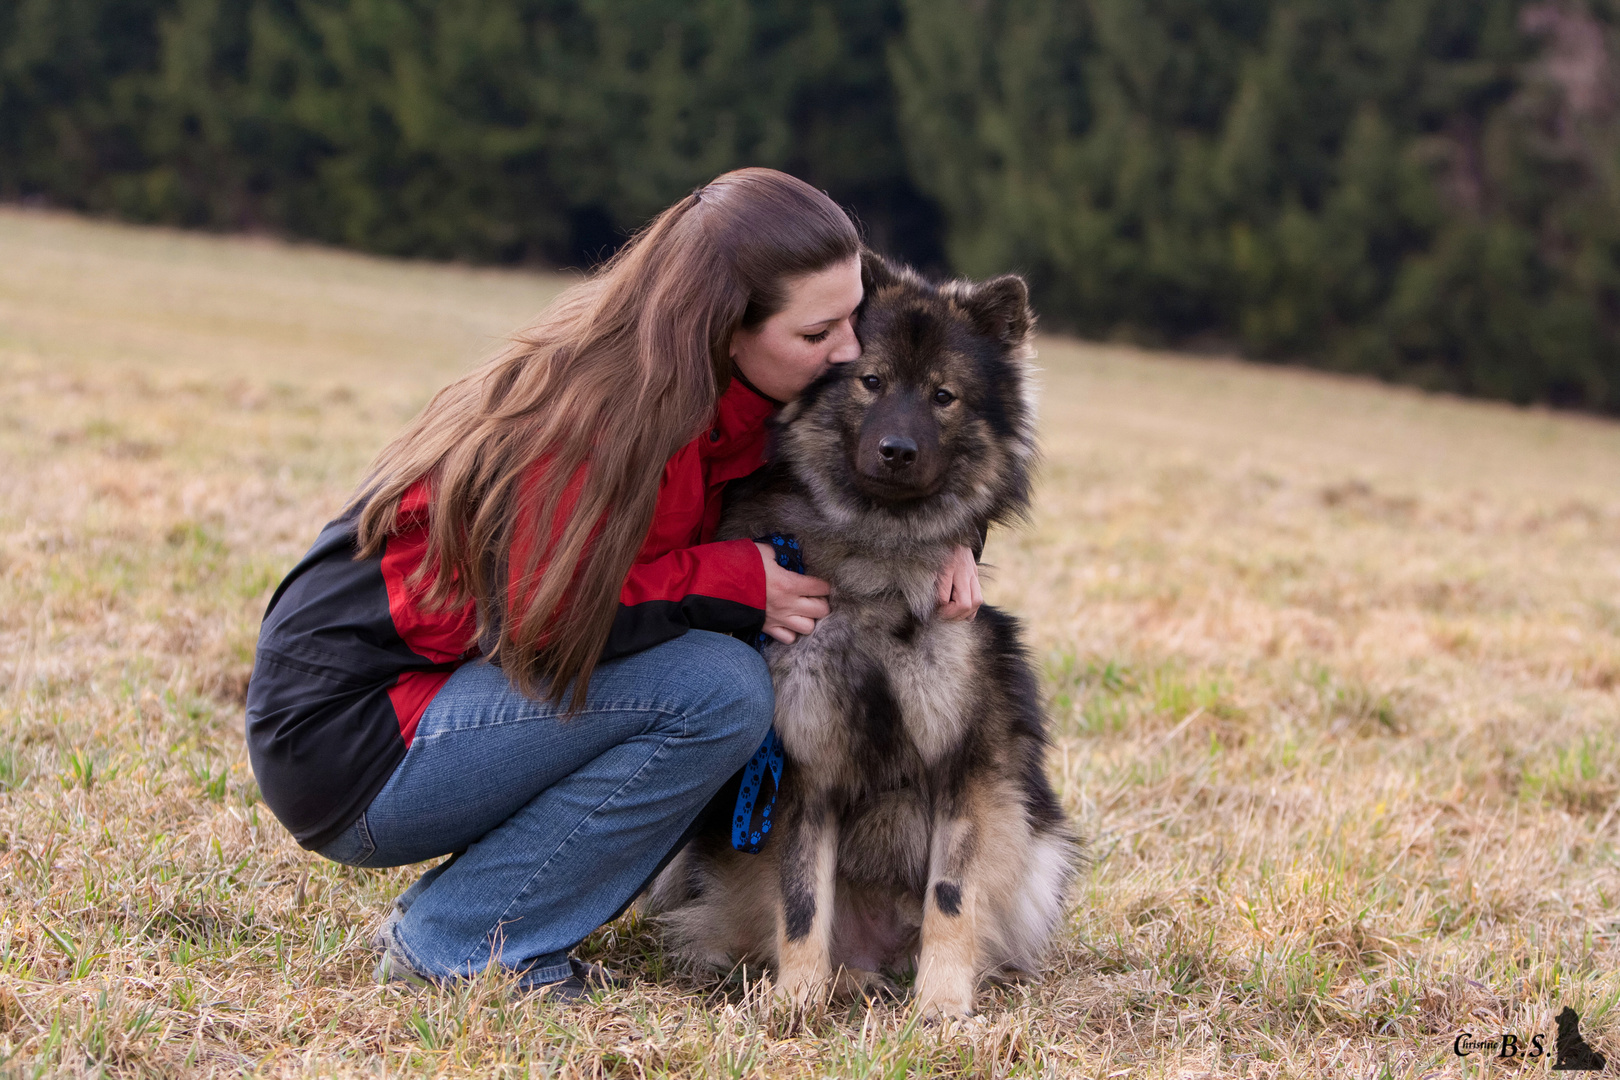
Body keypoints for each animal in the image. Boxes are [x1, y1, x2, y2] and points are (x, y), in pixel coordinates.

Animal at [644, 249, 1075, 1016]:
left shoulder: (963, 767)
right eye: (871, 381)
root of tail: (876, 955)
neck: (877, 567)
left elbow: (951, 896)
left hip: (1043, 843)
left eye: (943, 396)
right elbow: (801, 901)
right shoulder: (802, 769)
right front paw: (796, 1002)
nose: (897, 450)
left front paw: (941, 1007)